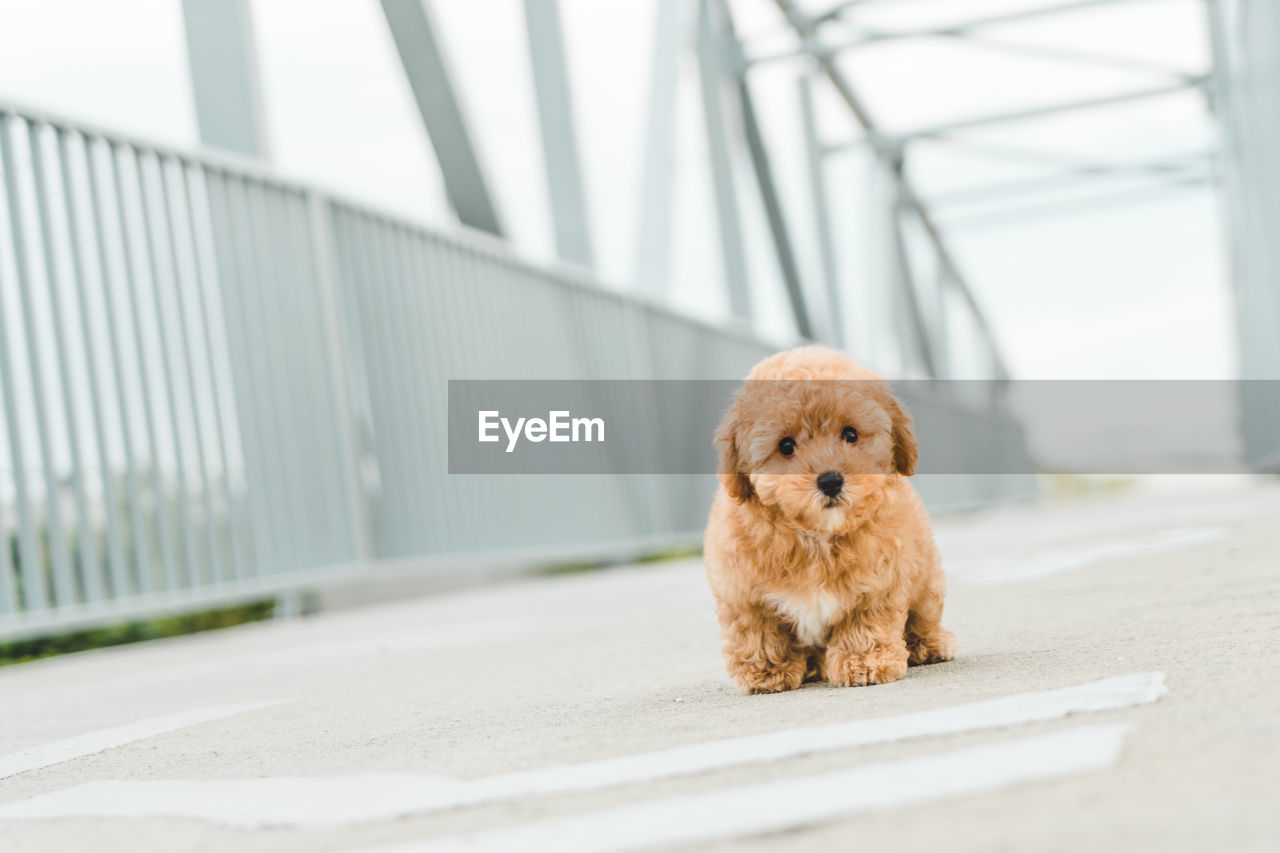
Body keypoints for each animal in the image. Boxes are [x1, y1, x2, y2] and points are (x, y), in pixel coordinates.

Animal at [706, 345, 957, 691]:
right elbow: (758, 631)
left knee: (923, 617)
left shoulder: (878, 581)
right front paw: (767, 673)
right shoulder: (743, 591)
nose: (830, 481)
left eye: (850, 434)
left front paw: (864, 663)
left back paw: (930, 645)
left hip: (926, 580)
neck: (817, 538)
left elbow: (865, 621)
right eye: (786, 445)